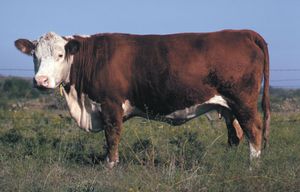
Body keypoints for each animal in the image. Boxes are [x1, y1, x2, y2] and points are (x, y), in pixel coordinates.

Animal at [14, 29, 272, 168]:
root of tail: (243, 33)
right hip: (229, 106)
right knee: (236, 134)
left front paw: (110, 165)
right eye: (35, 56)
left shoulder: (110, 104)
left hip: (243, 101)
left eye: (60, 54)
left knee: (254, 129)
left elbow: (112, 135)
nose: (41, 81)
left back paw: (252, 166)